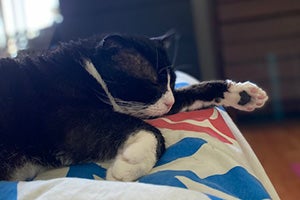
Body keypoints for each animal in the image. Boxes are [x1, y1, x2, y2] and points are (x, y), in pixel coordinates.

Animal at [0, 31, 268, 181]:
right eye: (154, 82)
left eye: (171, 81)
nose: (169, 99)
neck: (88, 70)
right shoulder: (67, 121)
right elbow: (148, 131)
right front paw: (130, 164)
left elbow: (190, 93)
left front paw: (243, 94)